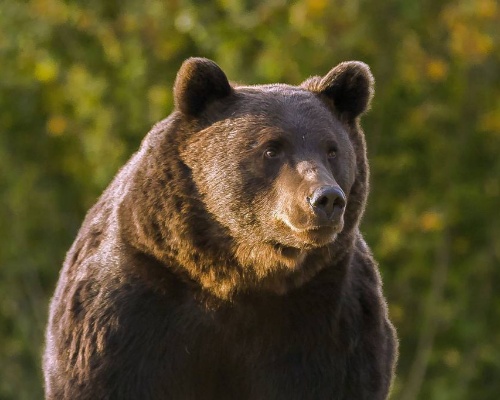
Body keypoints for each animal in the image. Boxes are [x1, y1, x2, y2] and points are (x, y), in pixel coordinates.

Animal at [45, 57, 400, 398]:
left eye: (332, 149)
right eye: (271, 148)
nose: (326, 198)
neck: (236, 275)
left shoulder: (325, 314)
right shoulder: (134, 302)